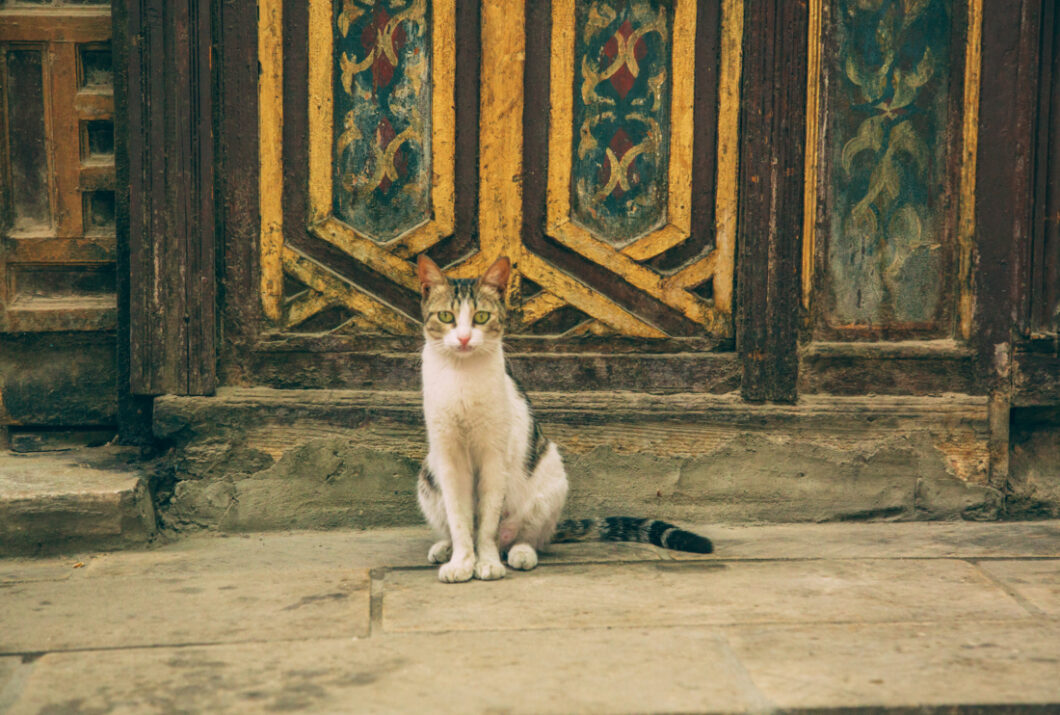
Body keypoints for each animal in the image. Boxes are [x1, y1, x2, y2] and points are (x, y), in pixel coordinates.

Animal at [413, 254, 712, 584]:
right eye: (445, 317)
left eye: (480, 317)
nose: (464, 338)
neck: (462, 376)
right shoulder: (448, 454)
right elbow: (459, 518)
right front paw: (463, 561)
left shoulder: (494, 455)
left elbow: (488, 522)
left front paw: (487, 561)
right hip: (427, 476)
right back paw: (444, 548)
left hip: (550, 474)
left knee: (527, 537)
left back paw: (519, 553)